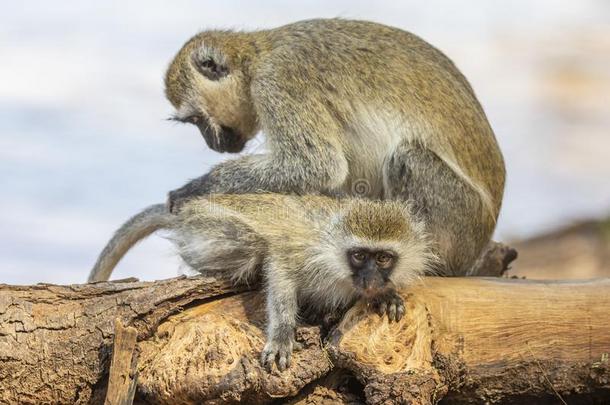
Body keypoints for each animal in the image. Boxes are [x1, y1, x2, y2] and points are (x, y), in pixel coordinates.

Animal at [89, 195, 432, 370]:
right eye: (359, 256)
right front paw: (281, 336)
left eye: (383, 258)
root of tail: (185, 212)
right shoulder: (304, 251)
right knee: (255, 244)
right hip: (208, 226)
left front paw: (384, 294)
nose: (371, 278)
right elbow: (279, 266)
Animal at [162, 17, 504, 274]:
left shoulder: (278, 82)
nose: (213, 143)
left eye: (196, 119)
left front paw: (194, 189)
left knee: (407, 157)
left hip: (456, 221)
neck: (256, 58)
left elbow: (317, 165)